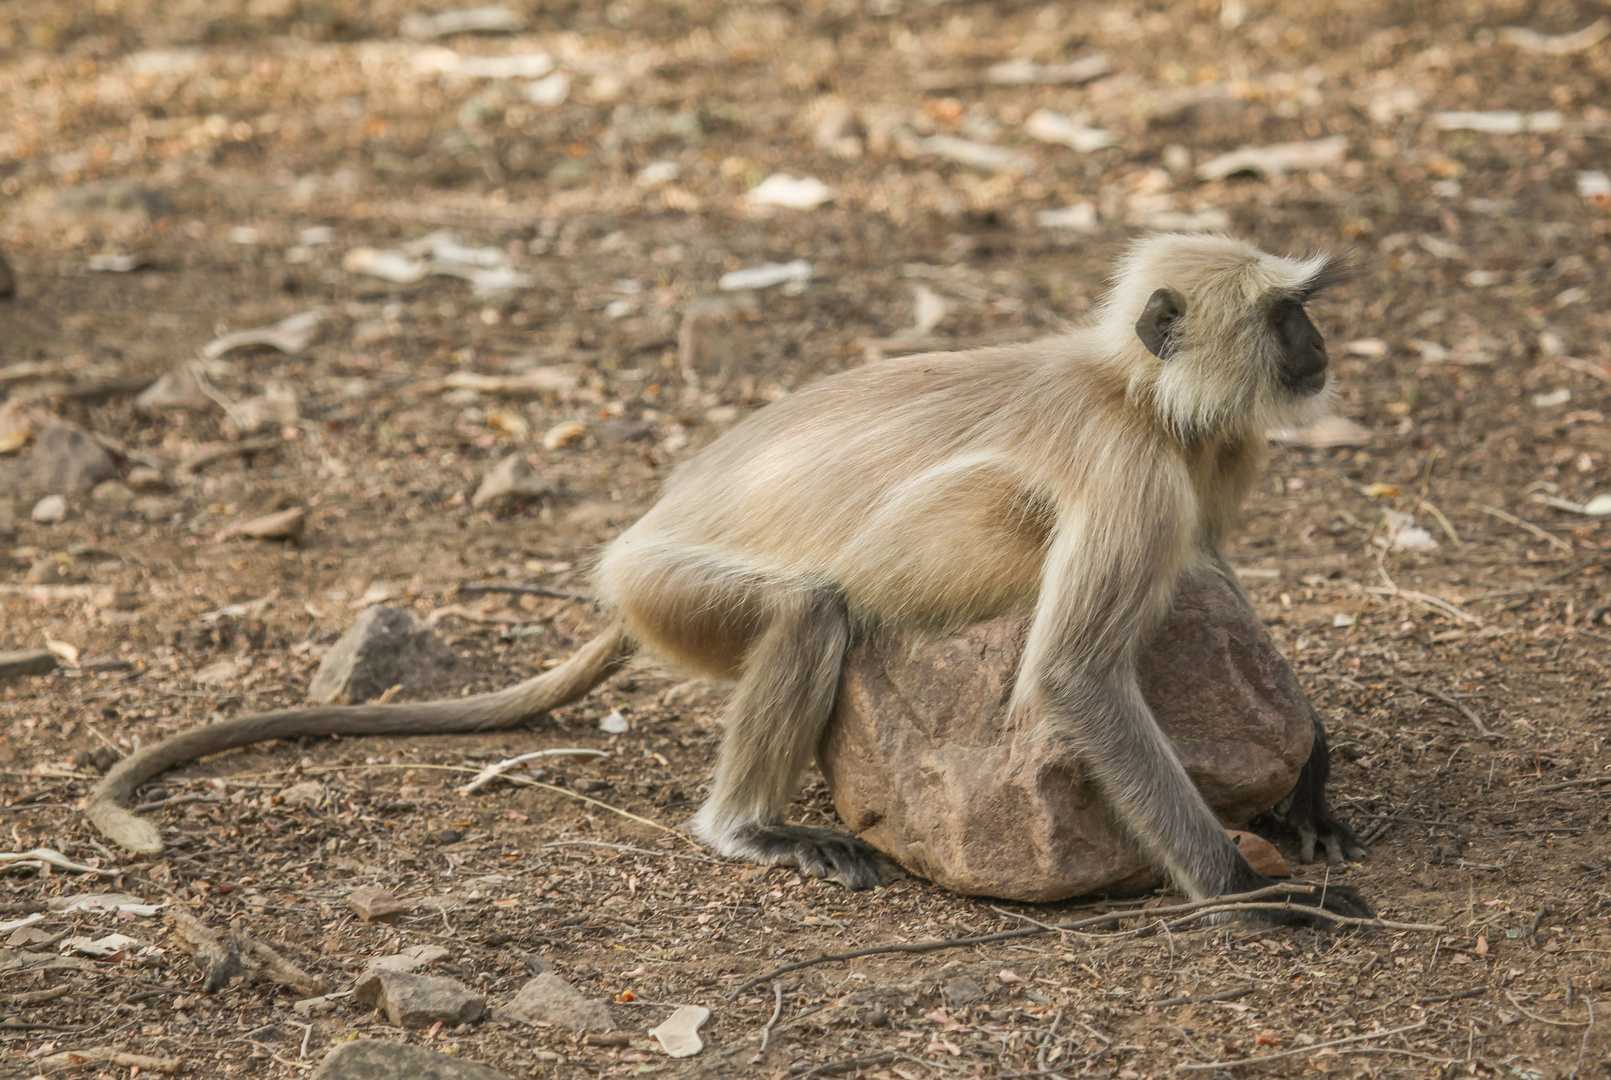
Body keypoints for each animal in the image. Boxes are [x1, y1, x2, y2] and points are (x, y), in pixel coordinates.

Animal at [84, 232, 1372, 915]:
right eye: (1284, 317)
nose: (1320, 347)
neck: (1136, 392)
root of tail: (643, 531)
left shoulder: (1207, 464)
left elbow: (1218, 585)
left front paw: (1307, 791)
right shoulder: (1132, 468)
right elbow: (1074, 678)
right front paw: (1246, 887)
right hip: (674, 590)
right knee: (810, 611)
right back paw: (745, 827)